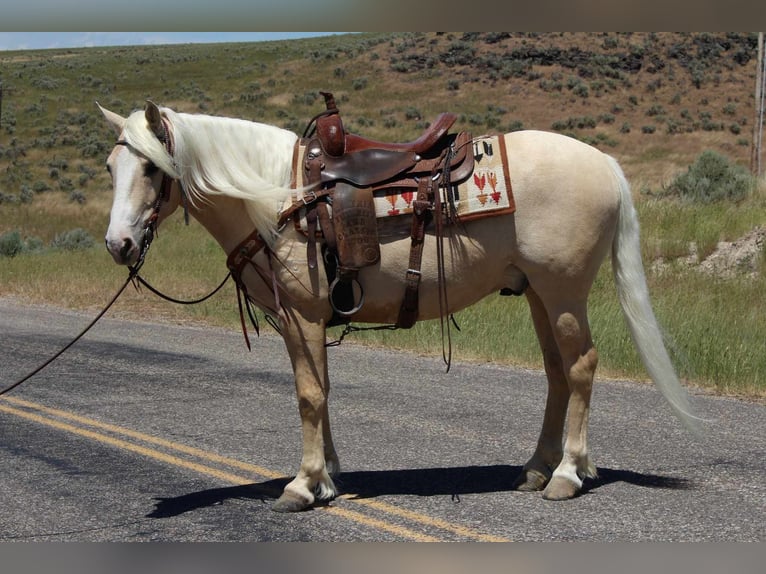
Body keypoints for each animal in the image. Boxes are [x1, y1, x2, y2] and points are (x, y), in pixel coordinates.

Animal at [99, 101, 700, 516]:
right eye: (110, 167)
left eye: (152, 169)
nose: (118, 245)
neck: (277, 198)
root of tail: (604, 163)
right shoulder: (307, 322)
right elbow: (322, 390)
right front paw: (328, 477)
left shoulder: (303, 315)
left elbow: (308, 395)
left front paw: (303, 484)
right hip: (538, 293)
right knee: (557, 373)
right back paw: (536, 468)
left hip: (564, 292)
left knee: (580, 368)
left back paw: (569, 474)